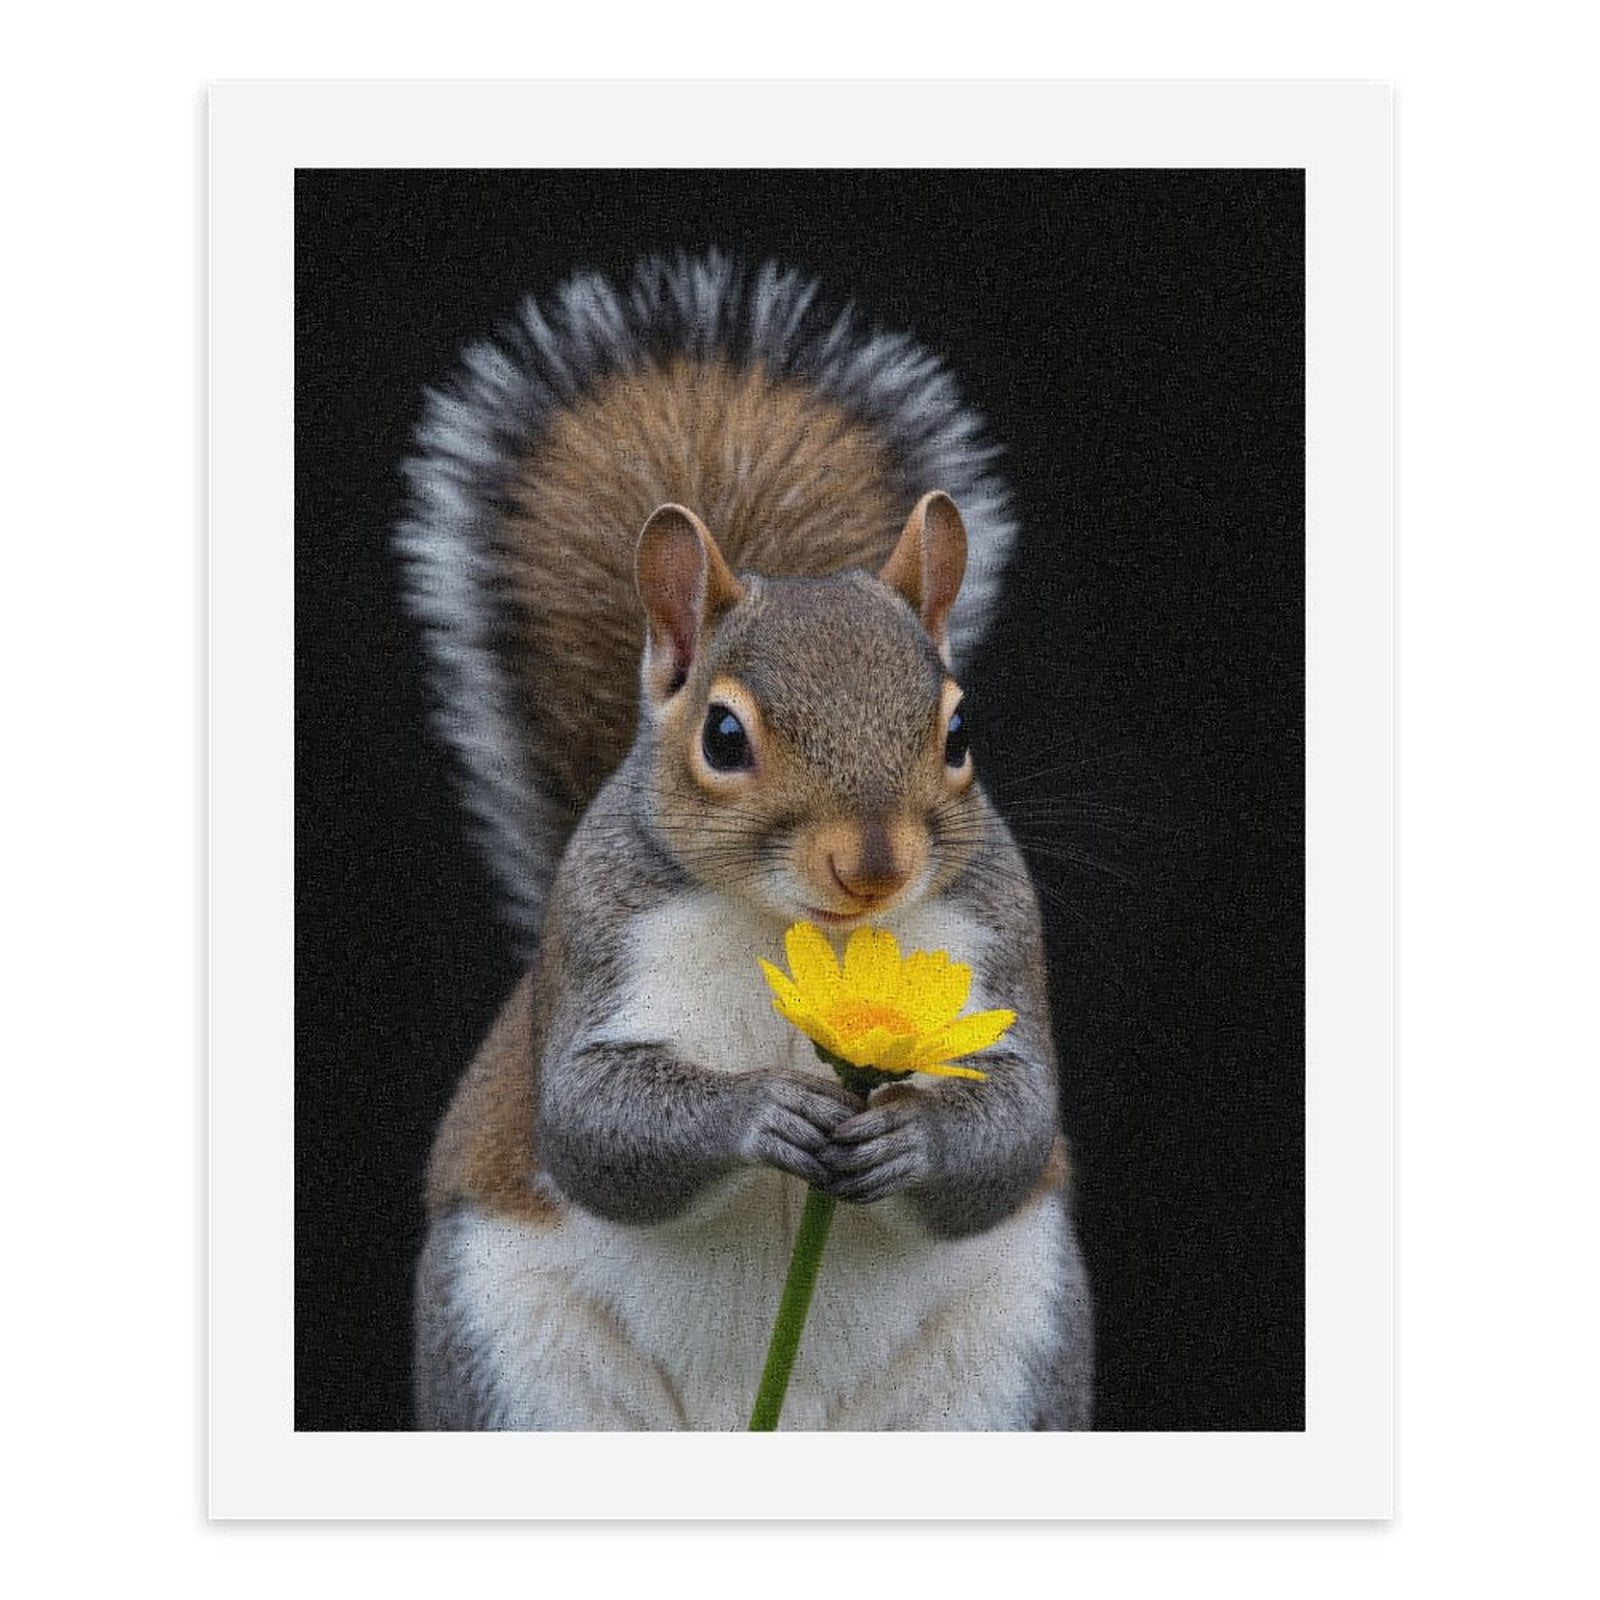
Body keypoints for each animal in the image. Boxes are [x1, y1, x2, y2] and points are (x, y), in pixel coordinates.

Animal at [398, 253, 1093, 1430]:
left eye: (959, 732)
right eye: (723, 737)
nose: (874, 865)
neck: (797, 928)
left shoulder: (1001, 941)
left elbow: (1015, 1125)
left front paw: (910, 1134)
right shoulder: (594, 944)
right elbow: (589, 1121)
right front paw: (759, 1107)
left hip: (1007, 1361)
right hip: (515, 1364)